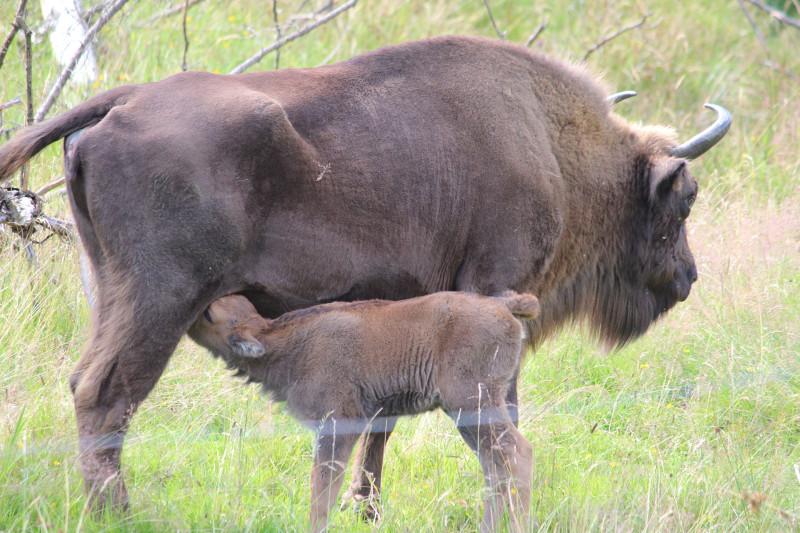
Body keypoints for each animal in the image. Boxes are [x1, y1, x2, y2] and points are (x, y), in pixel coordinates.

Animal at [188, 290, 540, 532]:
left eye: (209, 314)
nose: (193, 310)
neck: (283, 340)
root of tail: (503, 305)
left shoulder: (336, 429)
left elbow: (322, 492)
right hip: (471, 418)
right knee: (495, 468)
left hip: (473, 405)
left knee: (518, 453)